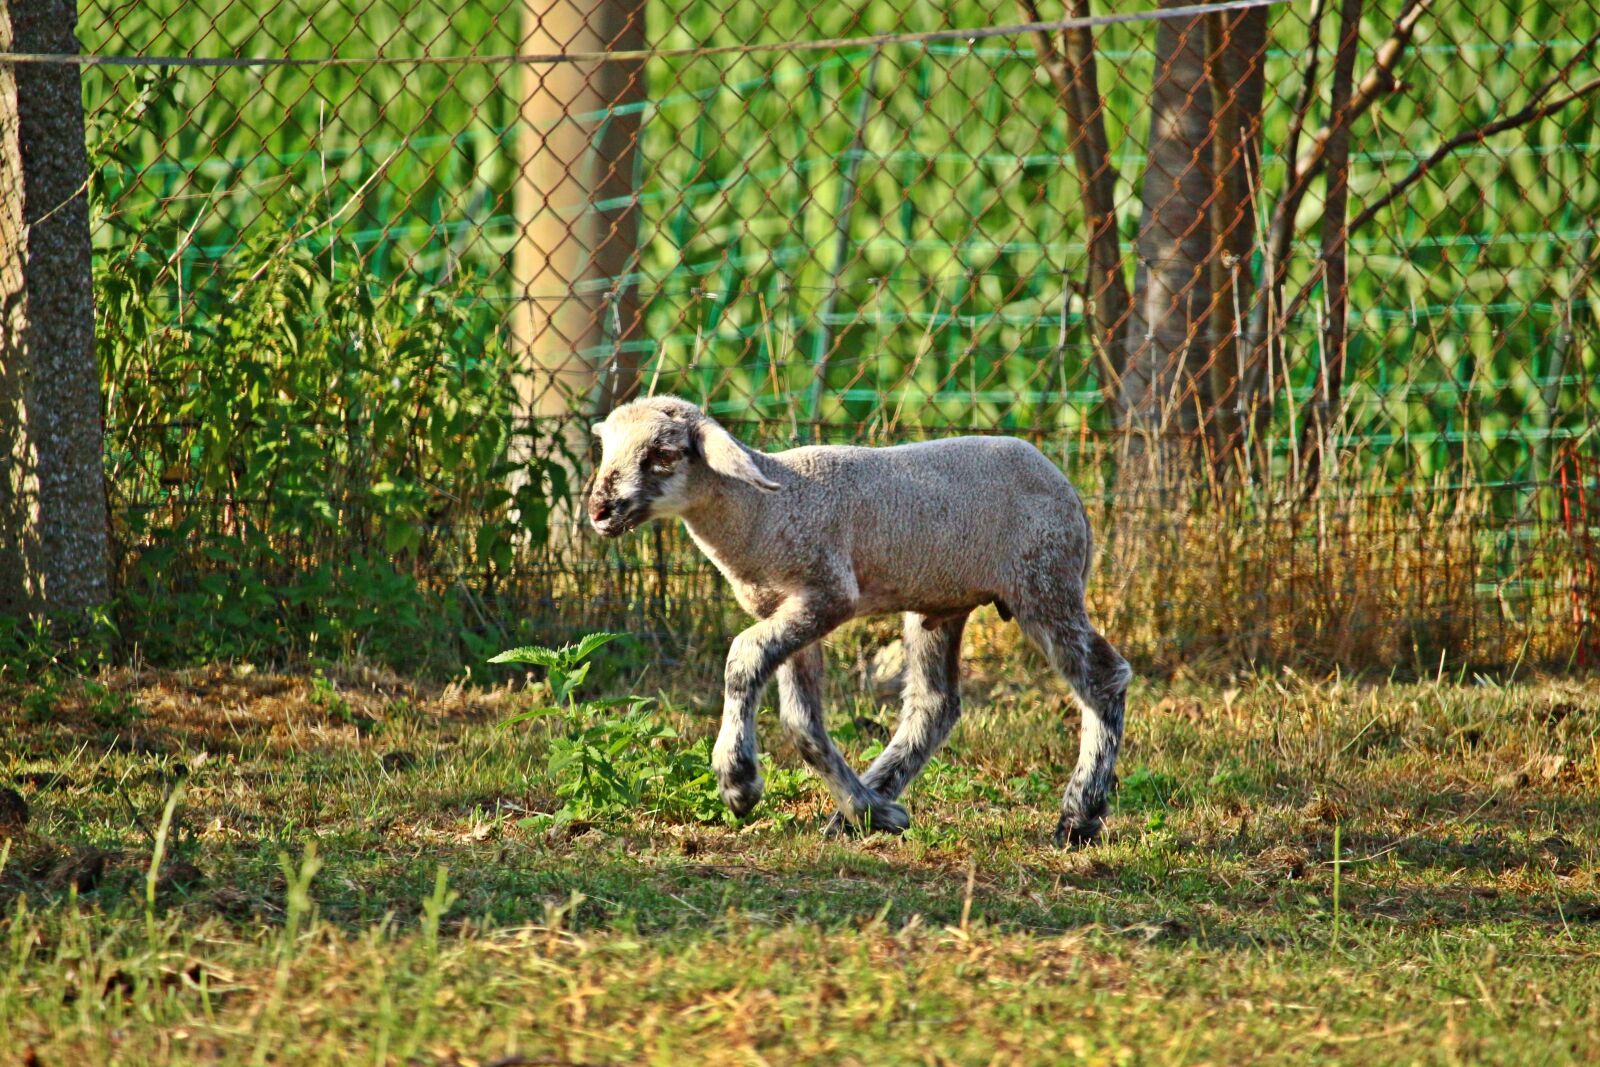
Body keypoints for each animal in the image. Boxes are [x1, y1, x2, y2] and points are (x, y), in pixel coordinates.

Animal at [586, 395, 1132, 845]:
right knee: (935, 704)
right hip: (940, 603)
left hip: (1045, 579)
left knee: (1104, 678)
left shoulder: (827, 593)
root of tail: (1069, 491)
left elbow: (744, 656)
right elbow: (802, 720)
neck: (764, 508)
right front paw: (863, 809)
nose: (599, 510)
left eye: (663, 453)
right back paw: (870, 810)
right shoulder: (786, 612)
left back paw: (1079, 815)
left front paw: (738, 781)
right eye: (605, 448)